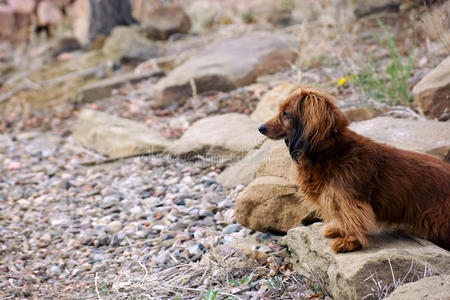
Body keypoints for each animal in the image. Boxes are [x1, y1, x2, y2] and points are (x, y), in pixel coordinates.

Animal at [258, 85, 450, 252]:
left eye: (286, 113)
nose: (260, 128)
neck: (330, 150)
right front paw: (338, 230)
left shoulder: (347, 199)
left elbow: (352, 219)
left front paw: (349, 242)